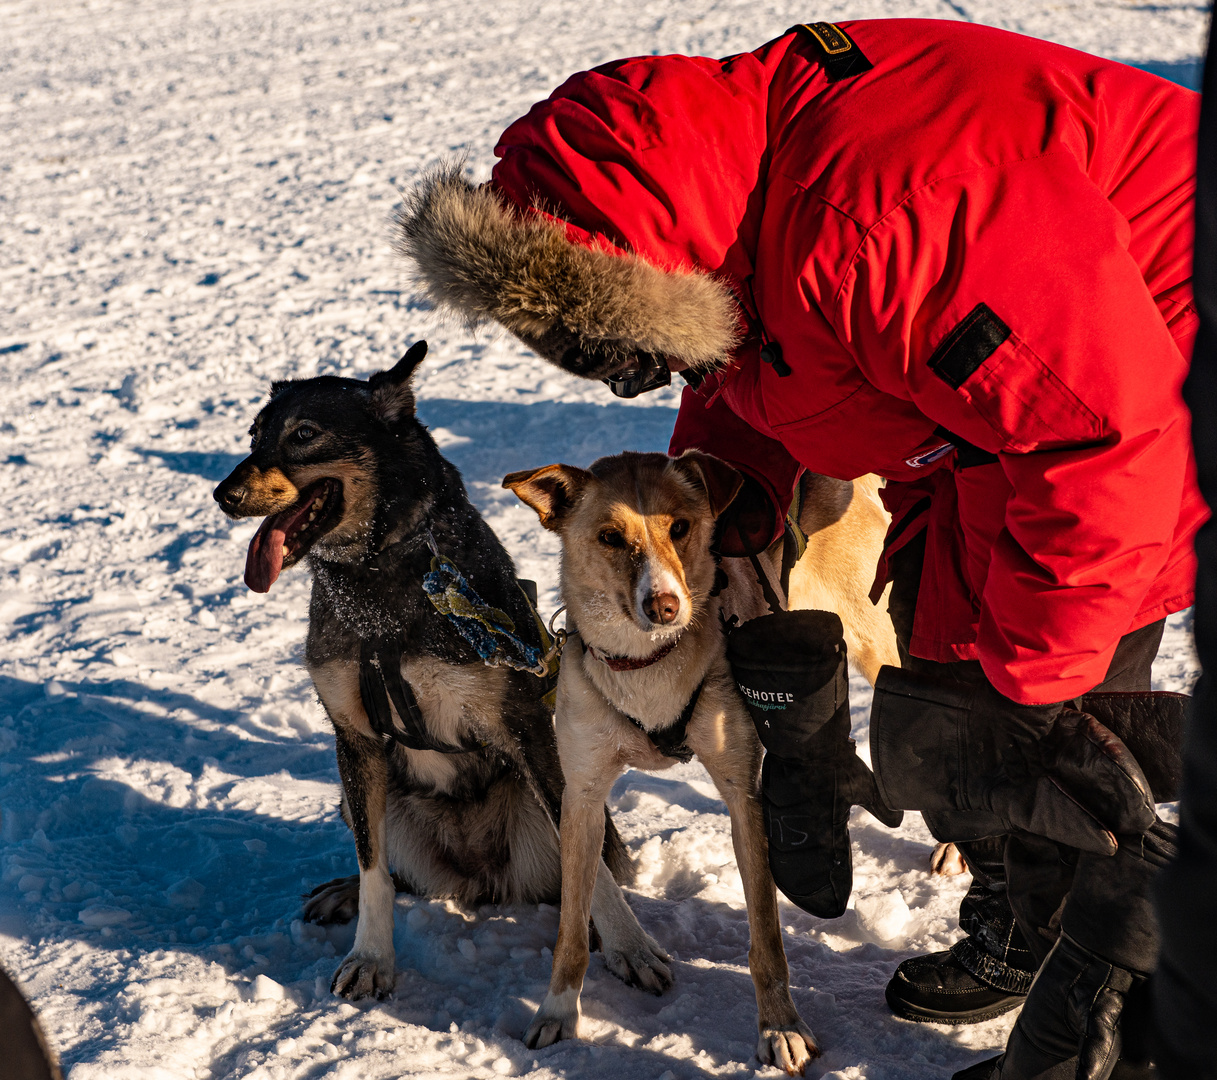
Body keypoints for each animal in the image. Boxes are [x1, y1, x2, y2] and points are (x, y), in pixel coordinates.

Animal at [209, 343, 666, 1003]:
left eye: (303, 434)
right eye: (253, 435)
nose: (223, 494)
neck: (377, 587)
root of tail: (475, 879)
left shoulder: (526, 730)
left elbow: (594, 873)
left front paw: (631, 947)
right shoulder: (355, 739)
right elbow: (374, 867)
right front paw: (371, 957)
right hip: (367, 796)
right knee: (390, 866)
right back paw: (344, 891)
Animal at [503, 448, 817, 1071]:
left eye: (680, 527)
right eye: (609, 537)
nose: (665, 605)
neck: (646, 667)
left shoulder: (743, 793)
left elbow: (767, 938)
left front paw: (780, 1026)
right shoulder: (582, 795)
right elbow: (572, 930)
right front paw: (558, 1013)